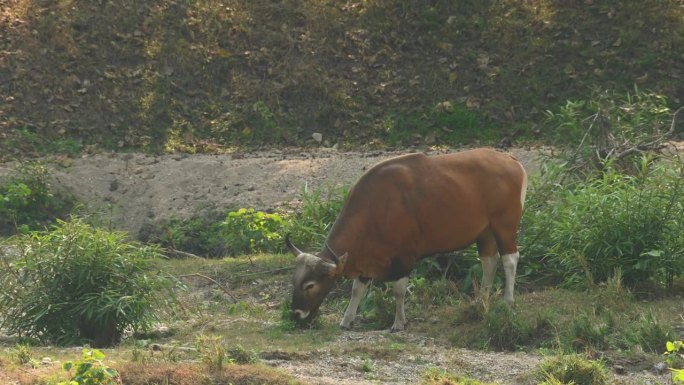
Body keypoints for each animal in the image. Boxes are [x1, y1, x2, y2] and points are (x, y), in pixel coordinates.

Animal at [286, 147, 528, 330]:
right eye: (294, 281)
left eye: (310, 285)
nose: (296, 313)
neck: (376, 207)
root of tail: (513, 161)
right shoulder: (366, 257)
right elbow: (357, 289)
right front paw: (346, 320)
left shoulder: (404, 257)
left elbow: (399, 290)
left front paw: (398, 323)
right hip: (484, 231)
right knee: (489, 261)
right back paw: (480, 302)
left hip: (505, 224)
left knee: (509, 259)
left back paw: (508, 301)